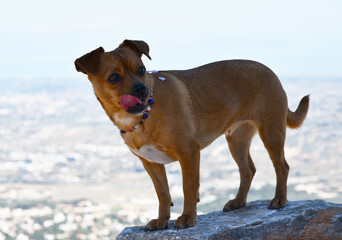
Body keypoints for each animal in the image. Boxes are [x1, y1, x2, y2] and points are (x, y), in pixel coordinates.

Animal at [75, 39, 310, 231]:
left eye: (141, 69)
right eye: (114, 77)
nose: (141, 89)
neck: (143, 117)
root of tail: (269, 70)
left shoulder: (188, 153)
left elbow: (188, 188)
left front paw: (188, 218)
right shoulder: (151, 163)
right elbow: (163, 193)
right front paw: (161, 221)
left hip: (271, 133)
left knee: (282, 167)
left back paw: (279, 199)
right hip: (236, 140)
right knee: (248, 169)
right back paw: (238, 201)